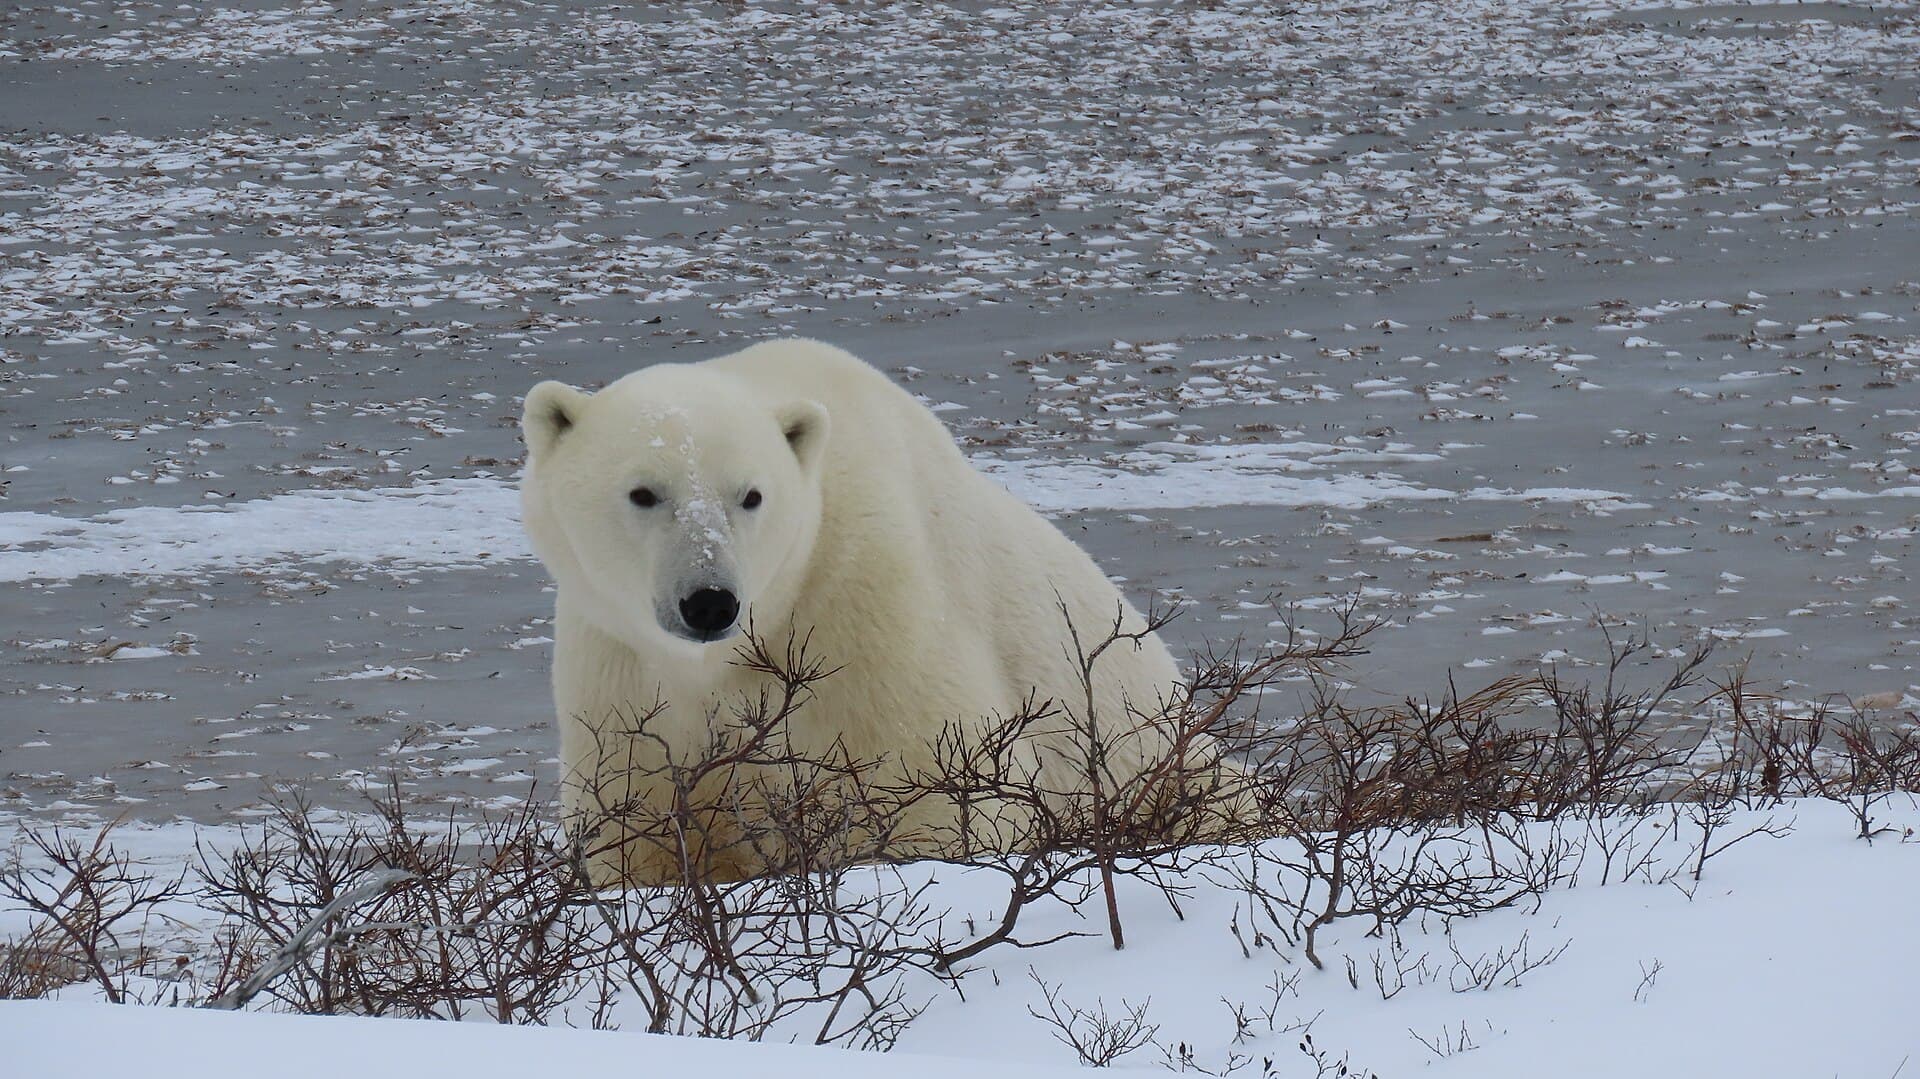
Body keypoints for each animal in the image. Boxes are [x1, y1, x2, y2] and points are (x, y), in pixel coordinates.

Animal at [519, 339, 1237, 886]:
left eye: (751, 495)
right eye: (644, 492)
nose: (709, 601)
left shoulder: (861, 610)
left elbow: (931, 797)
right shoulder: (618, 666)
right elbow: (640, 822)